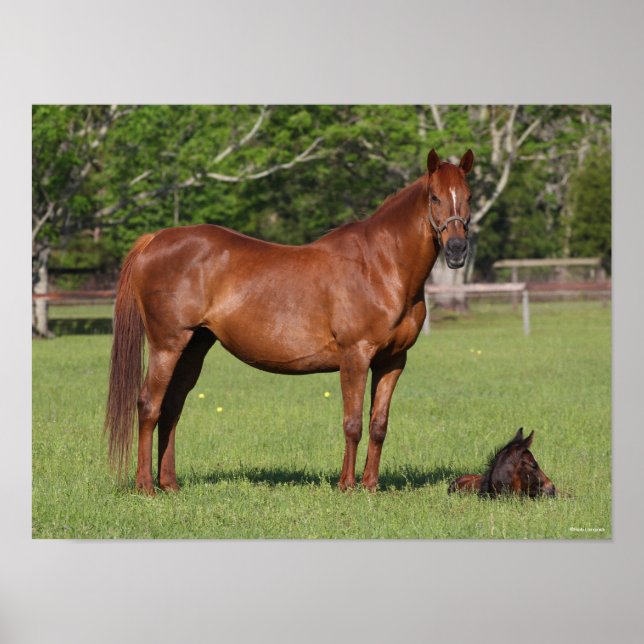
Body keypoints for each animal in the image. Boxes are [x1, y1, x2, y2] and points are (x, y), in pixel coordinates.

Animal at [105, 148, 475, 495]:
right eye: (434, 197)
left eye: (469, 196)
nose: (457, 249)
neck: (380, 267)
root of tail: (154, 240)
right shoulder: (354, 357)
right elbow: (353, 423)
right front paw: (347, 485)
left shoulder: (393, 360)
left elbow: (378, 424)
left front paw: (370, 486)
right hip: (167, 346)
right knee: (149, 405)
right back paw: (146, 486)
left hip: (194, 347)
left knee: (171, 409)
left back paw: (169, 484)